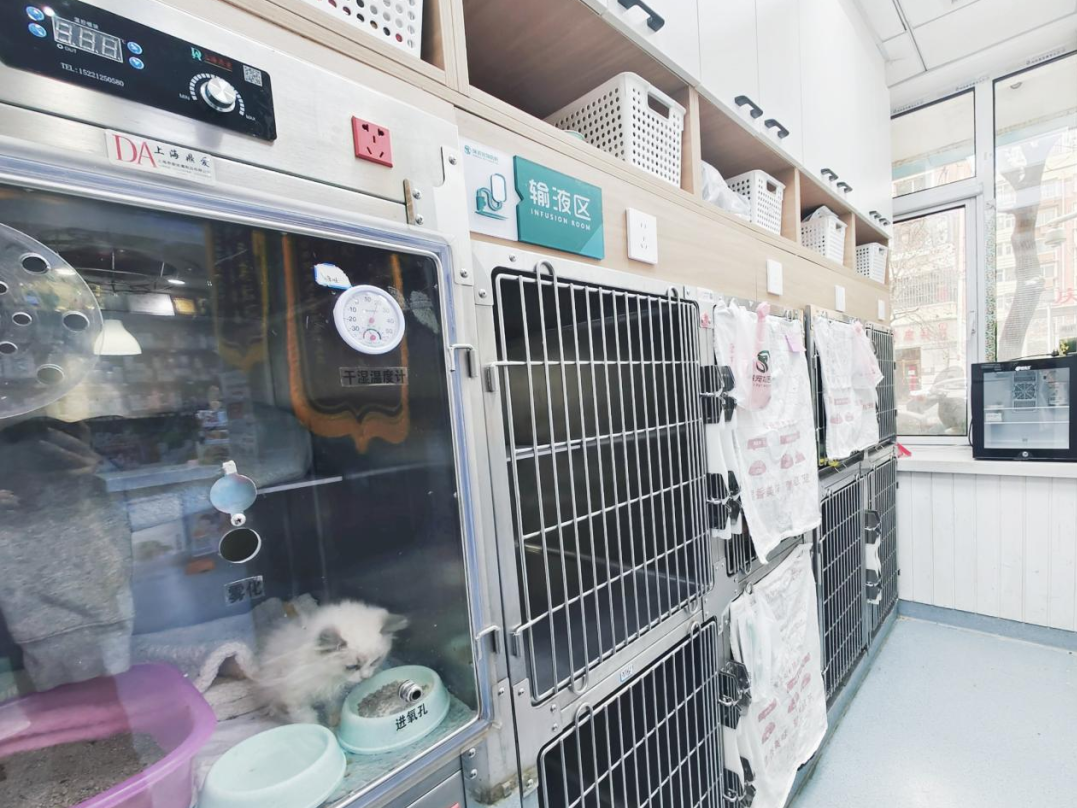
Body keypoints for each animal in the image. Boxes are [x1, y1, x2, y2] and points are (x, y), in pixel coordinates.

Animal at [256, 600, 409, 725]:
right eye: (352, 666)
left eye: (375, 661)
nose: (365, 677)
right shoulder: (296, 699)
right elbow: (308, 720)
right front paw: (323, 730)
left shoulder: (332, 692)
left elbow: (332, 707)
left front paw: (334, 722)